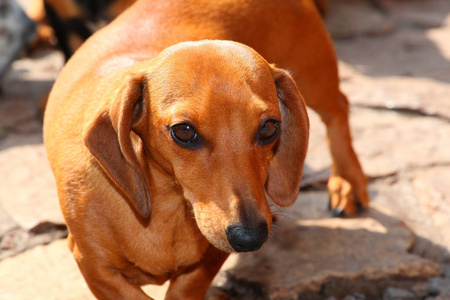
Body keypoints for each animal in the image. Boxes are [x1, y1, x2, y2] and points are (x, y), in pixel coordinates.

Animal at [44, 0, 370, 300]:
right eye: (184, 131)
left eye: (269, 127)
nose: (250, 237)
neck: (166, 208)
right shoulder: (93, 264)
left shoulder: (208, 259)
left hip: (314, 77)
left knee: (339, 109)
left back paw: (347, 181)